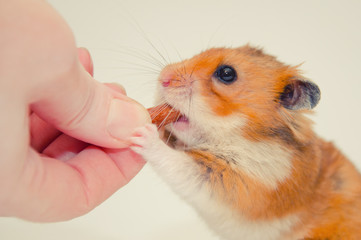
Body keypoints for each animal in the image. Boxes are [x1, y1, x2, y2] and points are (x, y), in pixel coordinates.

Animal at [129, 45, 360, 240]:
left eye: (227, 73)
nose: (163, 78)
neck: (240, 136)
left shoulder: (238, 181)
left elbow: (179, 164)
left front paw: (143, 133)